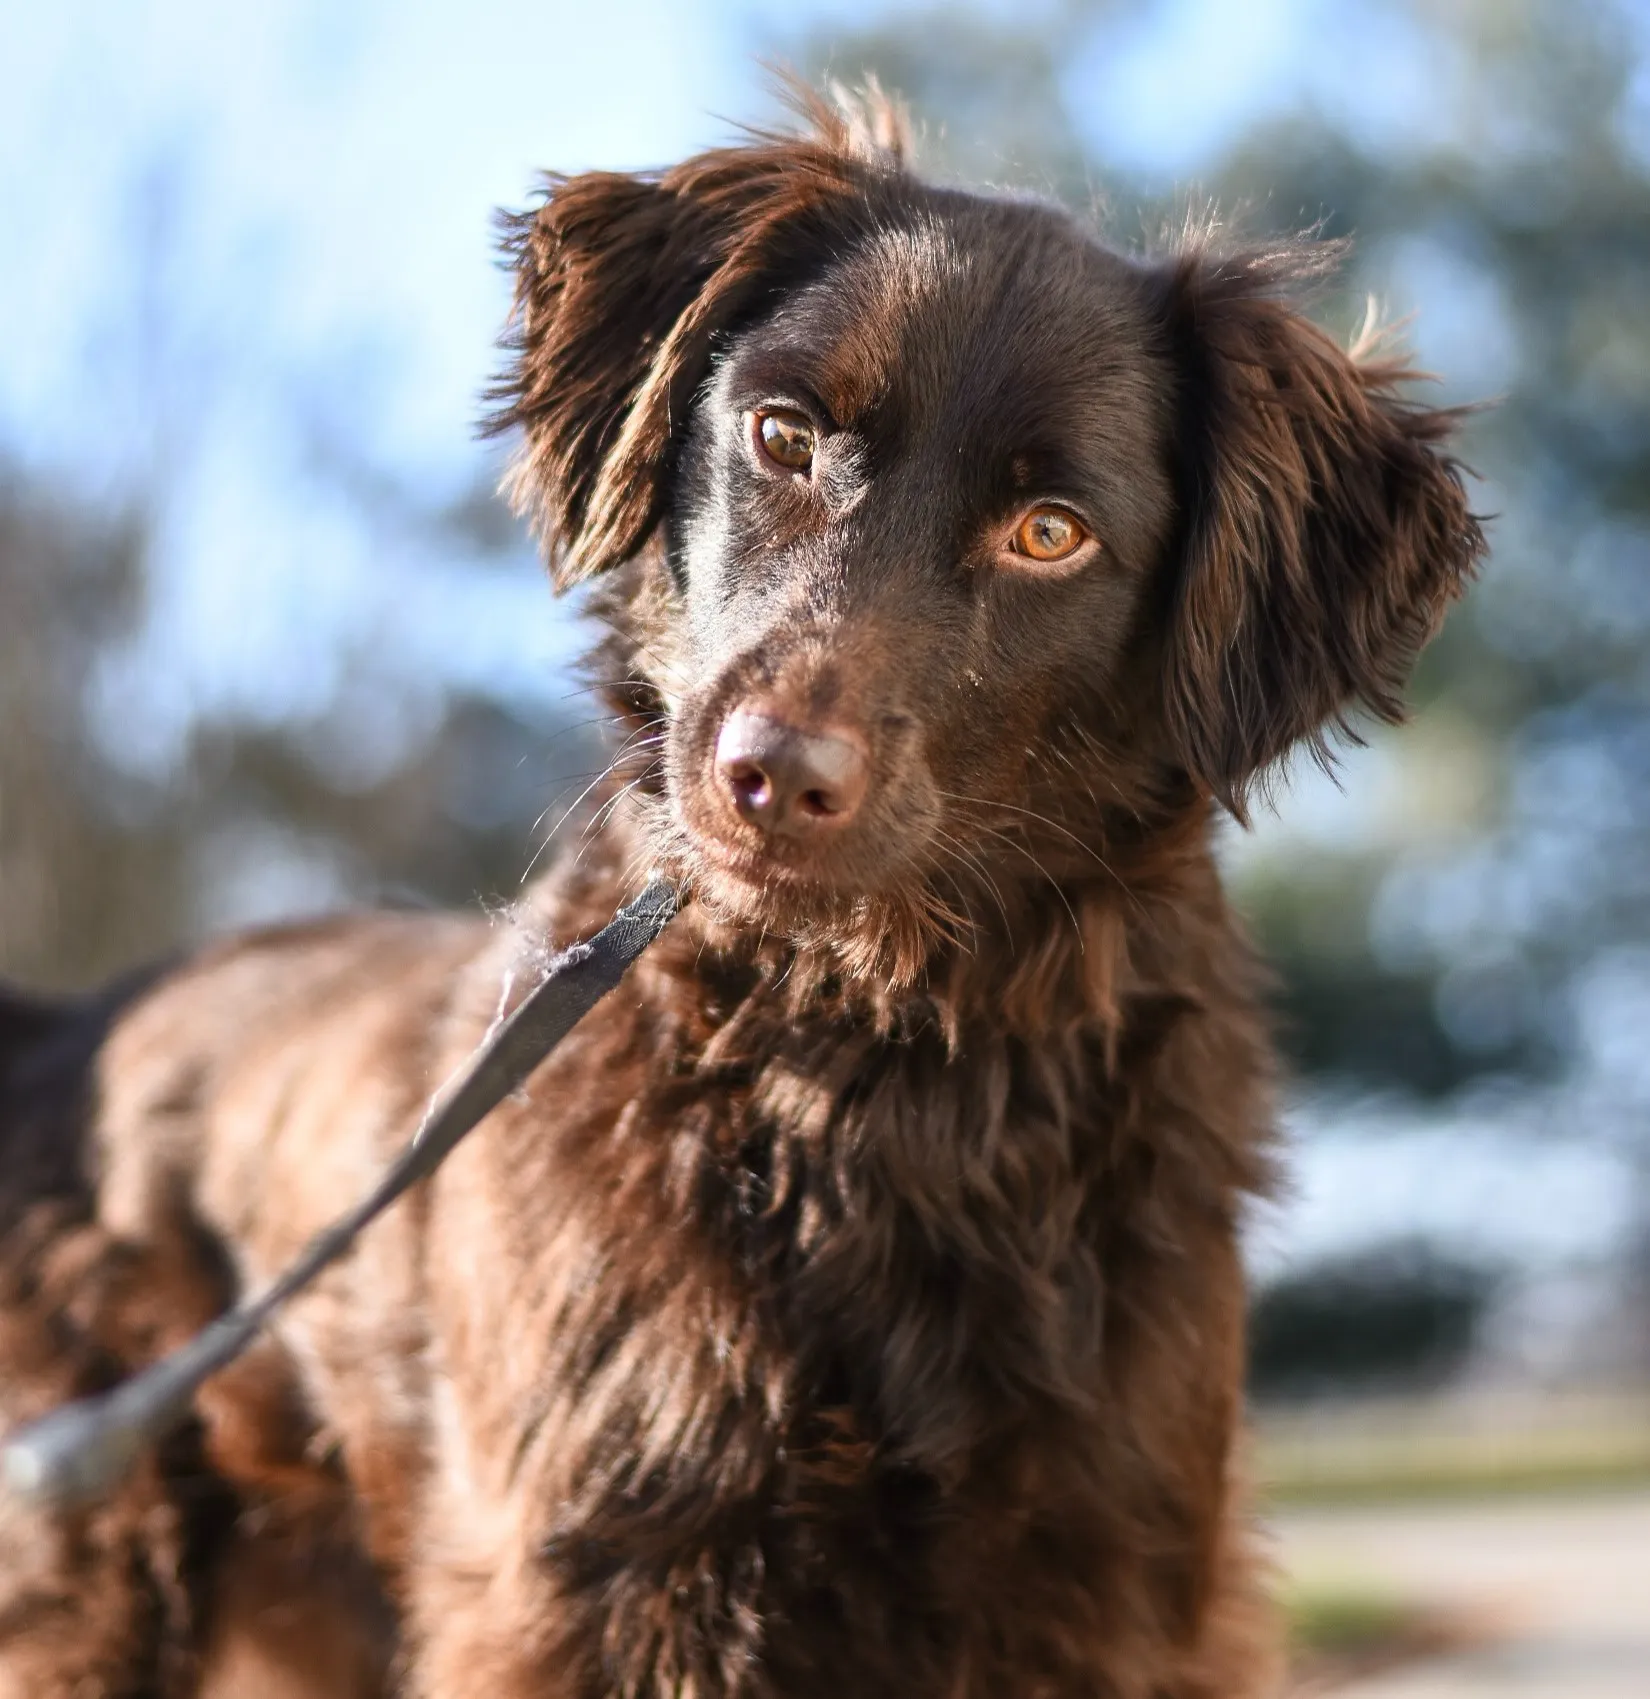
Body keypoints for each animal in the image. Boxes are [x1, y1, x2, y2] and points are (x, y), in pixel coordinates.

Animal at [0, 89, 1474, 1699]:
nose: (769, 772)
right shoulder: (590, 1583)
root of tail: (72, 1023)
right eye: (781, 434)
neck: (872, 1057)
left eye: (1050, 531)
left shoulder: (1116, 1587)